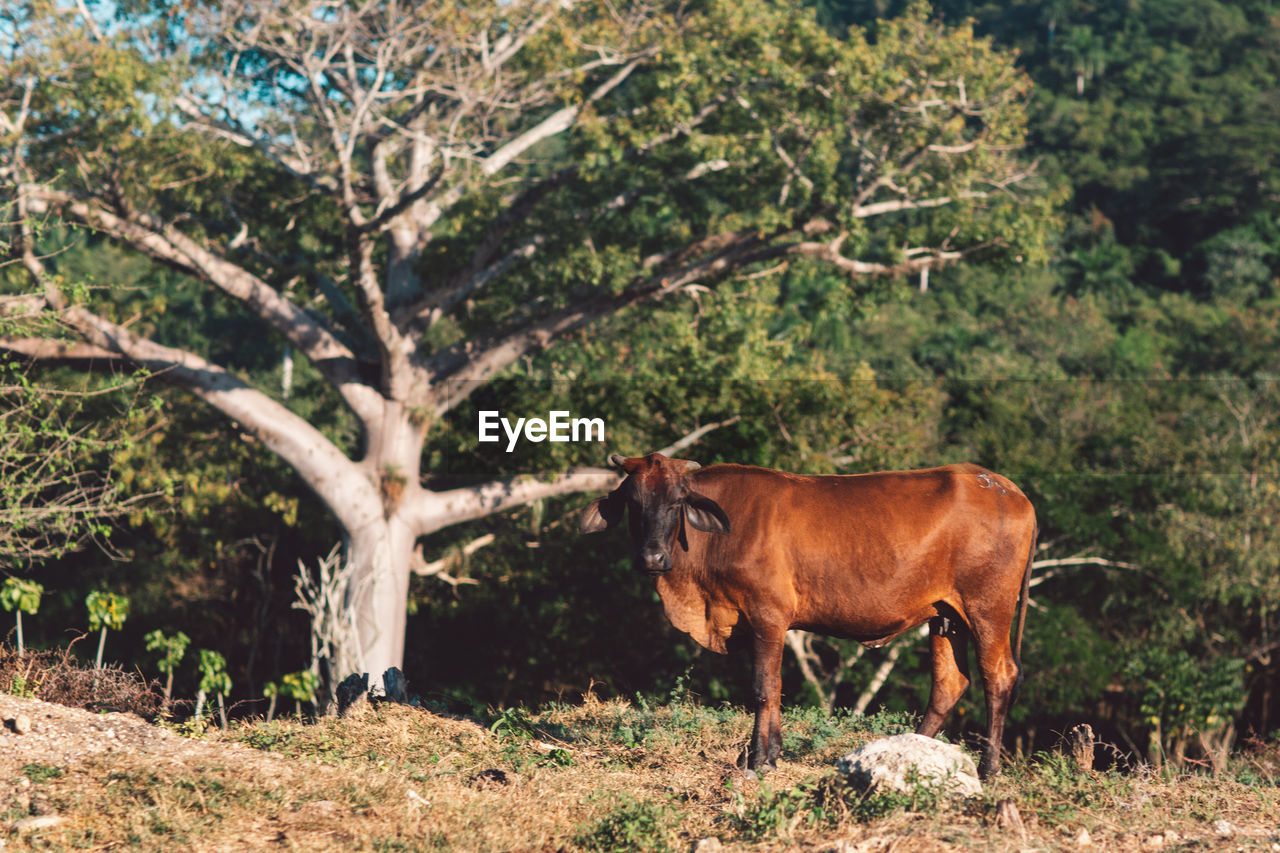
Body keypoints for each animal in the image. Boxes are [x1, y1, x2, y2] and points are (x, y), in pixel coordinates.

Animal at [586, 450, 1034, 778]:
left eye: (677, 501)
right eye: (632, 502)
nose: (651, 558)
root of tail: (1008, 489)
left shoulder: (767, 614)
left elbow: (764, 687)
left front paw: (758, 760)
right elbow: (773, 687)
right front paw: (768, 754)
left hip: (987, 608)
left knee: (998, 676)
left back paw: (989, 768)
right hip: (945, 616)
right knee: (948, 683)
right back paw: (910, 752)